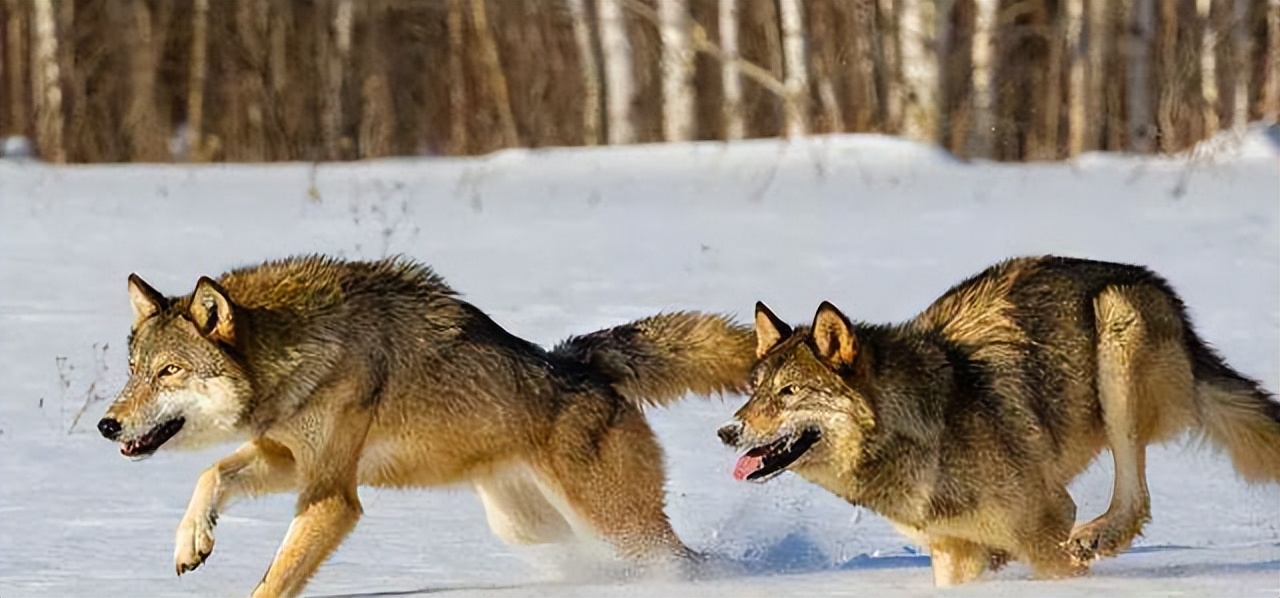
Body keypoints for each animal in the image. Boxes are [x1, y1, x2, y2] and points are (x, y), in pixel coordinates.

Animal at [102, 253, 757, 598]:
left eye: (169, 372)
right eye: (133, 371)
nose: (108, 425)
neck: (298, 352)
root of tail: (580, 362)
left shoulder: (333, 497)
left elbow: (273, 580)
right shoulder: (290, 460)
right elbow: (211, 475)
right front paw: (192, 541)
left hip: (614, 521)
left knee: (680, 559)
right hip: (527, 526)